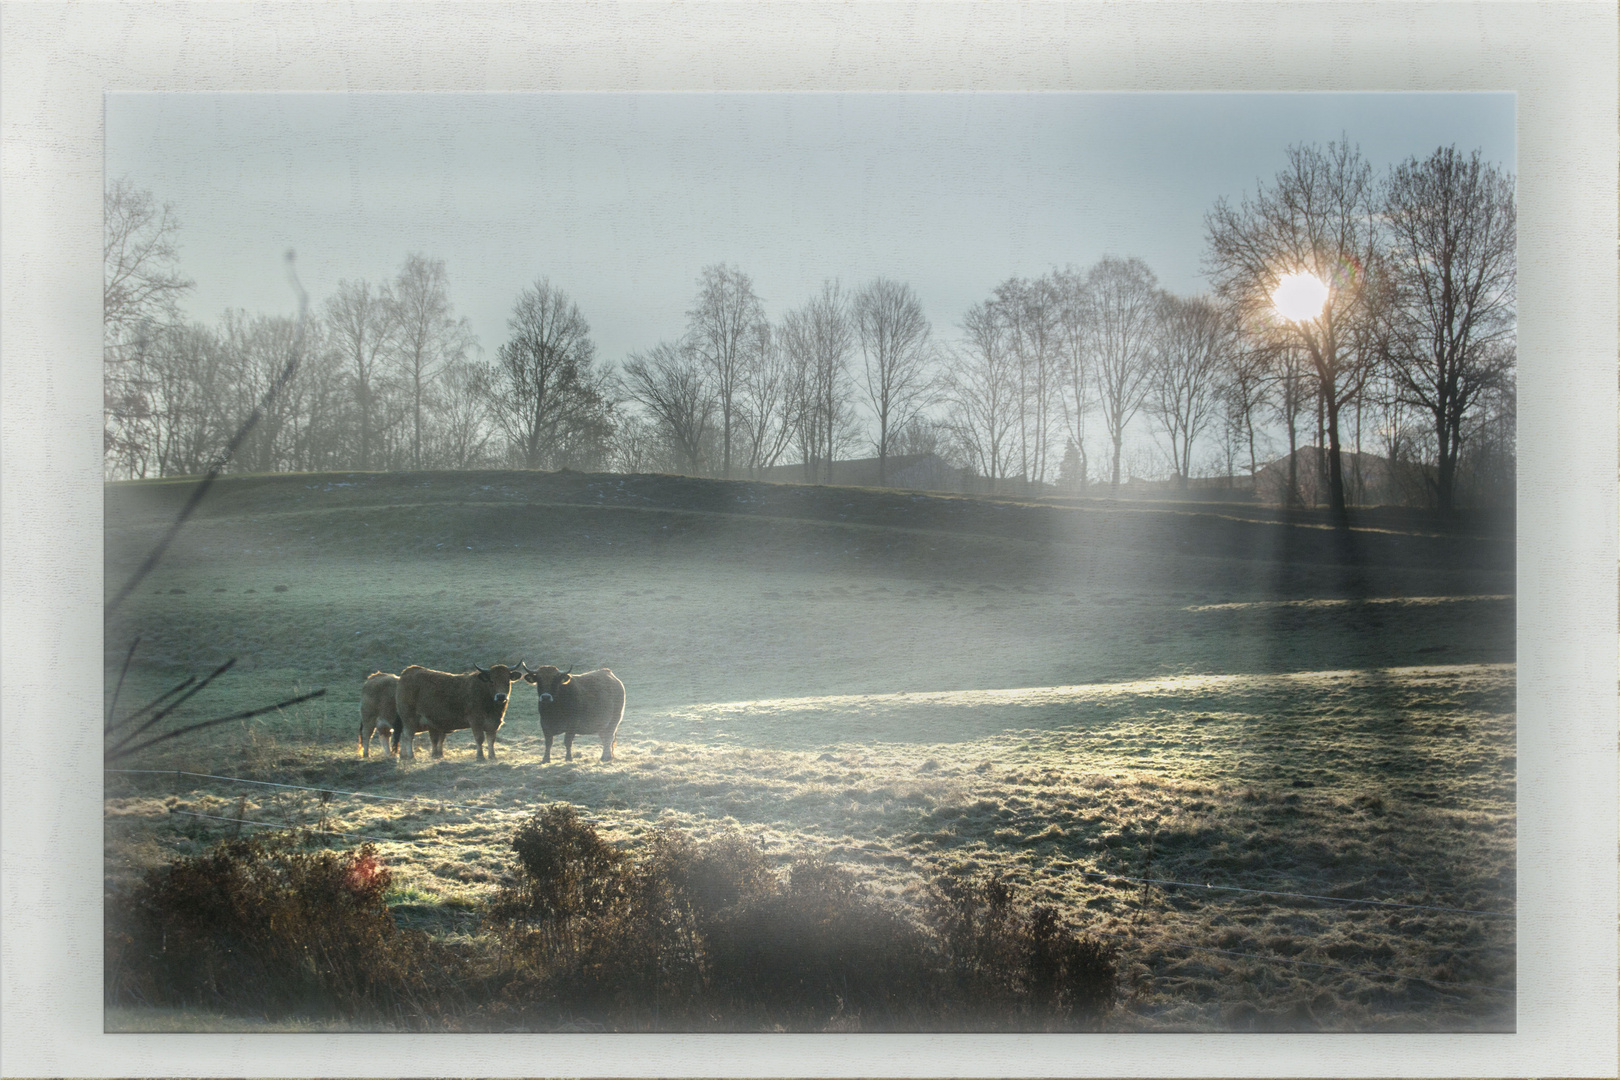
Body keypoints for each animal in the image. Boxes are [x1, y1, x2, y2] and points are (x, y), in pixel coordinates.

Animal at [390, 663, 521, 764]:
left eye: (507, 682)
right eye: (492, 681)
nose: (501, 696)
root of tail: (409, 671)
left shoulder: (493, 723)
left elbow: (491, 740)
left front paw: (492, 756)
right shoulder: (476, 721)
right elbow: (479, 739)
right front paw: (480, 757)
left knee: (404, 736)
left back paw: (404, 757)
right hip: (409, 718)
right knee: (408, 736)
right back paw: (411, 757)